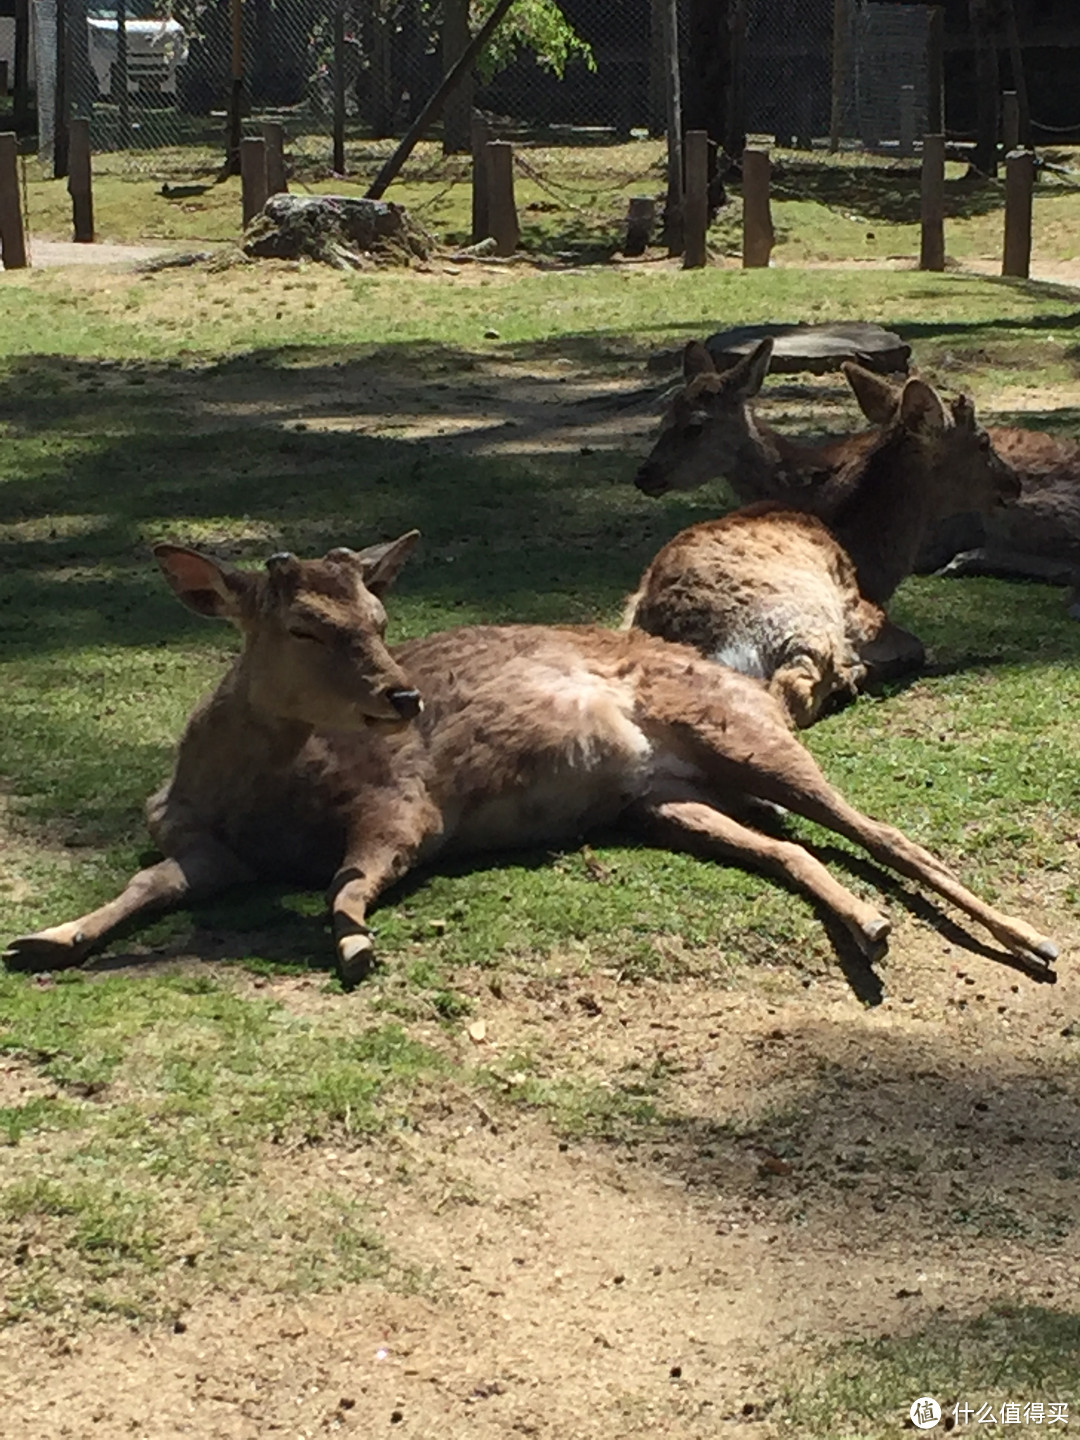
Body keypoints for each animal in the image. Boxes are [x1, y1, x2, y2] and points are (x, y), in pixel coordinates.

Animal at [4, 535, 1059, 984]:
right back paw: (870, 931)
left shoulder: (406, 804)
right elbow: (142, 888)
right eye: (304, 625)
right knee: (785, 844)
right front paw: (46, 938)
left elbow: (351, 880)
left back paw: (1035, 944)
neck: (255, 800)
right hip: (661, 800)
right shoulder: (197, 841)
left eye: (380, 615)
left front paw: (352, 943)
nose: (404, 699)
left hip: (743, 735)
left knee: (882, 830)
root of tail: (740, 676)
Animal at [630, 344, 1019, 725]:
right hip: (799, 615)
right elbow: (915, 647)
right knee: (792, 691)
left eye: (689, 425)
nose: (1014, 482)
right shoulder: (861, 611)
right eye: (983, 442)